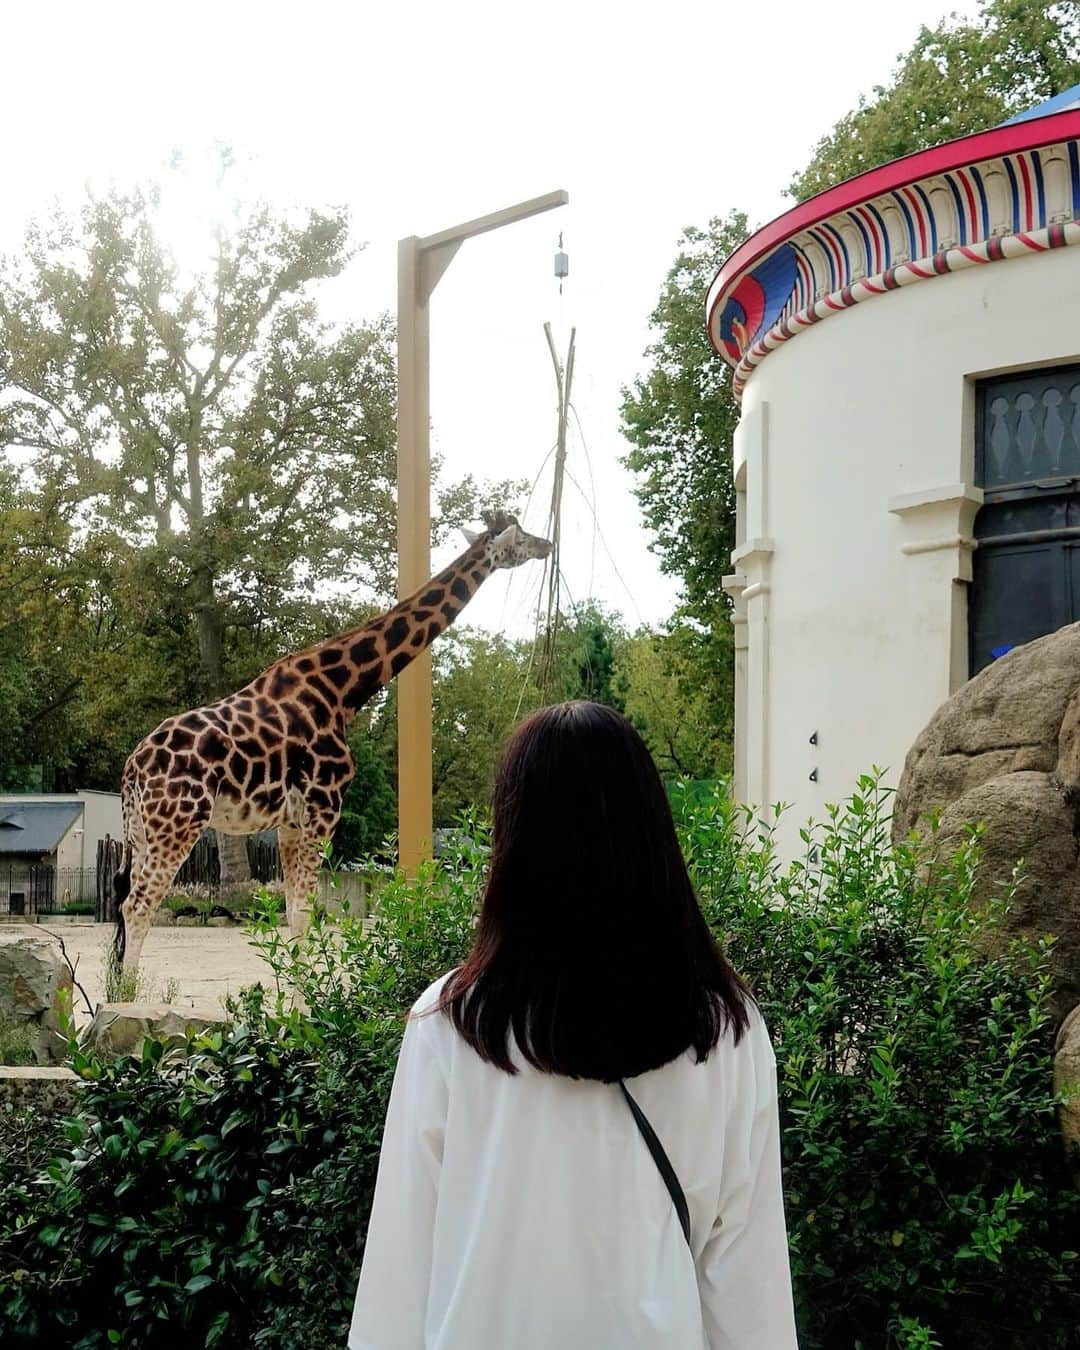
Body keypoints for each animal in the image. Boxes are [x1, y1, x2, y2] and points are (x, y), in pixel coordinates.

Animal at [114, 513, 553, 972]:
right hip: (178, 823)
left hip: (140, 831)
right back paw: (129, 989)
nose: (549, 545)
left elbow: (294, 913)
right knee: (138, 905)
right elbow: (306, 914)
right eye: (521, 538)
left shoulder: (291, 820)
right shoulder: (324, 805)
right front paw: (308, 993)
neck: (343, 691)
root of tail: (132, 768)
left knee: (124, 902)